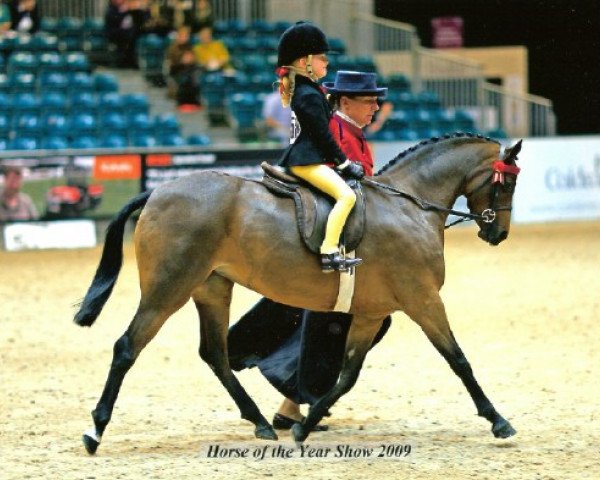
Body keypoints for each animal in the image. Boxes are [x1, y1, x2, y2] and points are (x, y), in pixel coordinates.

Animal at [74, 132, 520, 454]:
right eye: (508, 183)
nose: (498, 234)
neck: (408, 206)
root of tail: (158, 192)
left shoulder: (373, 311)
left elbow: (347, 374)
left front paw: (305, 426)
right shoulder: (423, 299)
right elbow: (458, 360)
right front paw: (498, 420)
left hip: (211, 289)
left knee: (215, 354)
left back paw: (261, 422)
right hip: (168, 289)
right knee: (127, 347)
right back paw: (95, 430)